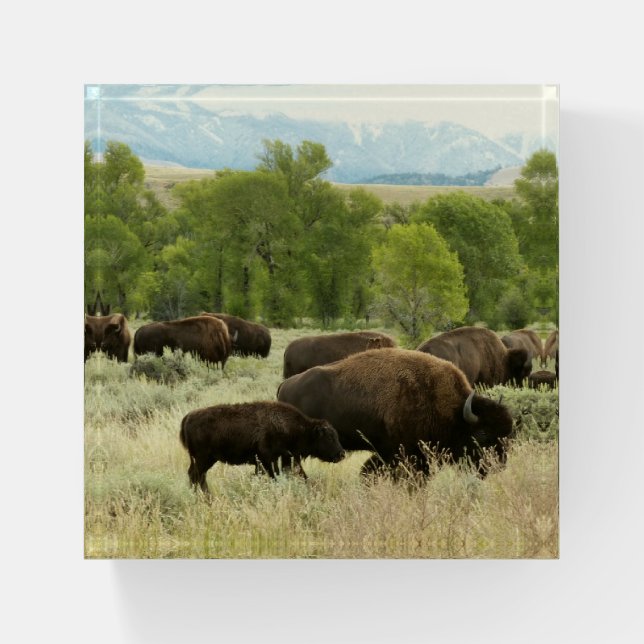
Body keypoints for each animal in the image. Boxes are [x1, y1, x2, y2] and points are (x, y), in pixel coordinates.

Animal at [179, 401, 346, 492]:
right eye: (329, 437)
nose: (341, 454)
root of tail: (188, 417)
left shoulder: (272, 460)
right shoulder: (267, 459)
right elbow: (274, 476)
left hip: (204, 460)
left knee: (197, 476)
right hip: (203, 459)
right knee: (196, 476)